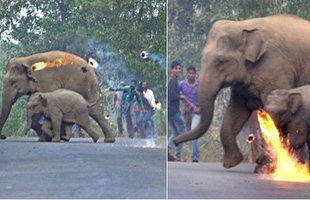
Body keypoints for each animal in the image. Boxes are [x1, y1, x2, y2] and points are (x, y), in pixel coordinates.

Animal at [174, 14, 310, 169]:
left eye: (221, 61)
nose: (174, 142)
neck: (243, 25)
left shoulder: (275, 68)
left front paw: (266, 166)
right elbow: (235, 111)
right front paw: (232, 163)